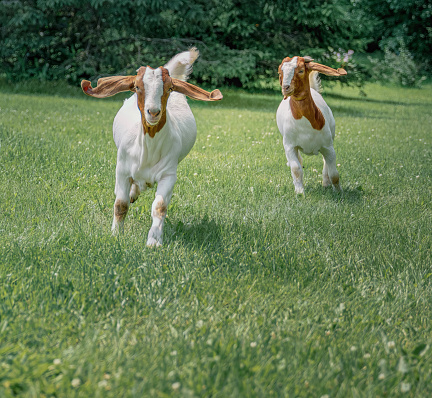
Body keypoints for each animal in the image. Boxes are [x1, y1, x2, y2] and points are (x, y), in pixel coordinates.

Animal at [81, 47, 223, 246]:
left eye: (169, 88)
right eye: (137, 87)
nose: (153, 112)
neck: (148, 148)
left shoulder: (168, 174)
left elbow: (160, 207)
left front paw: (154, 241)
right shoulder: (122, 169)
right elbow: (120, 204)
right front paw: (116, 234)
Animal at [276, 55, 348, 195]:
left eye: (301, 70)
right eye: (280, 72)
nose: (286, 88)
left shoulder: (328, 146)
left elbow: (334, 173)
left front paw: (338, 191)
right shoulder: (289, 145)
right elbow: (296, 169)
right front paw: (300, 192)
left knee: (325, 164)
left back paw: (325, 183)